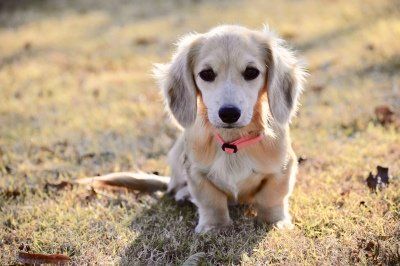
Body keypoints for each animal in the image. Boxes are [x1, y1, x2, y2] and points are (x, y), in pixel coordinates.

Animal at [77, 25, 306, 233]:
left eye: (251, 72)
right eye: (206, 74)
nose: (229, 113)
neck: (232, 142)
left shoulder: (283, 169)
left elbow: (272, 198)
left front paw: (274, 222)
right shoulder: (196, 171)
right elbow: (211, 201)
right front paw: (214, 226)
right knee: (176, 187)